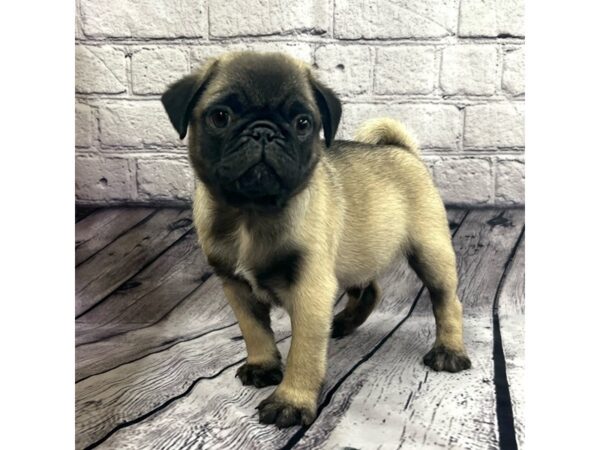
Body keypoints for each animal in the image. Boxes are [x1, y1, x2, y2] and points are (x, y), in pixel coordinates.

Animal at [162, 51, 472, 428]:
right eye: (220, 117)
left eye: (302, 123)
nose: (264, 131)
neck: (252, 214)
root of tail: (400, 149)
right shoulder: (236, 286)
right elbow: (254, 330)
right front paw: (262, 365)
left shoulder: (310, 287)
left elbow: (304, 350)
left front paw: (291, 401)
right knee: (370, 288)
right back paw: (344, 322)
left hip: (430, 251)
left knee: (447, 301)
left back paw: (449, 351)